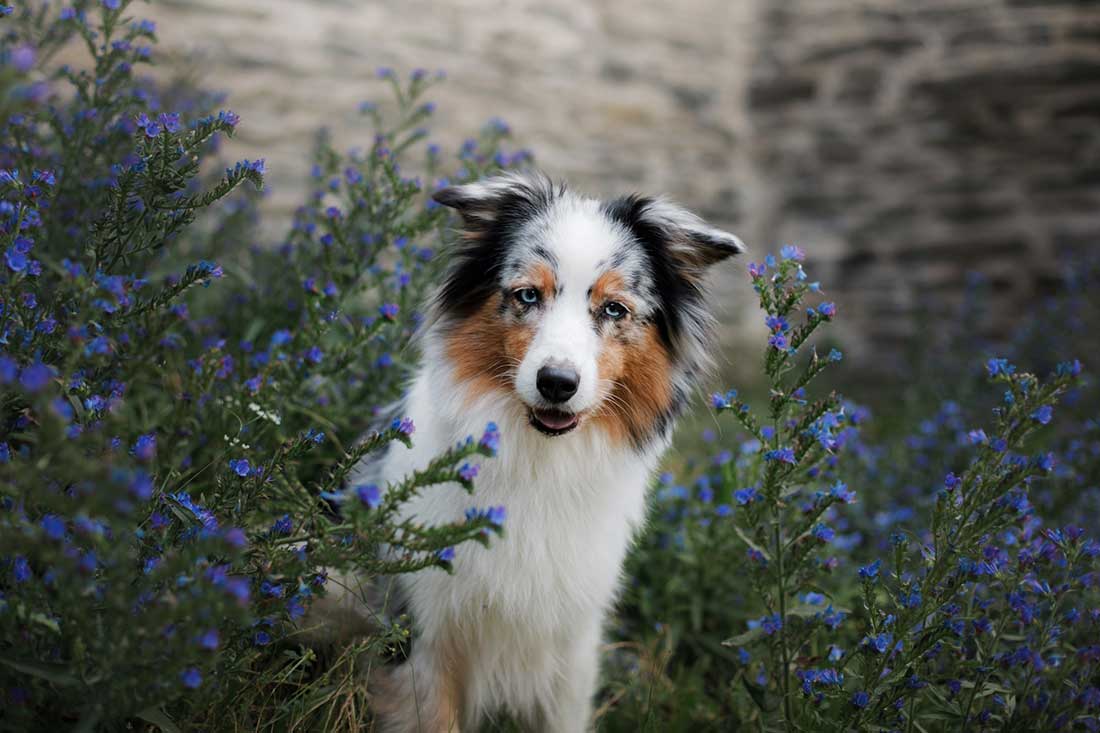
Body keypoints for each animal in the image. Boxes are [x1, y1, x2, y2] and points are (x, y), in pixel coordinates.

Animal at [323, 169, 739, 730]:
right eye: (526, 296)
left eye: (614, 308)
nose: (557, 383)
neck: (539, 461)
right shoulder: (423, 639)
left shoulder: (573, 646)